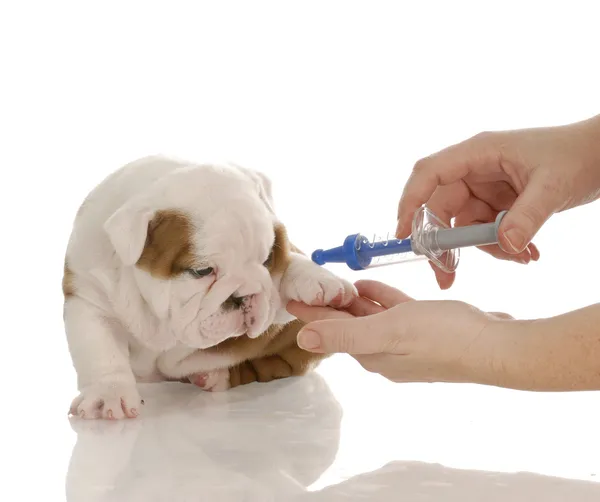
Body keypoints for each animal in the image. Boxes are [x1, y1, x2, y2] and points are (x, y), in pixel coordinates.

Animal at [64, 157, 356, 420]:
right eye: (202, 271)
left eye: (267, 259)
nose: (245, 296)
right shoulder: (89, 296)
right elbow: (102, 348)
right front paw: (109, 394)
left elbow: (290, 266)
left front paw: (319, 280)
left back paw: (215, 377)